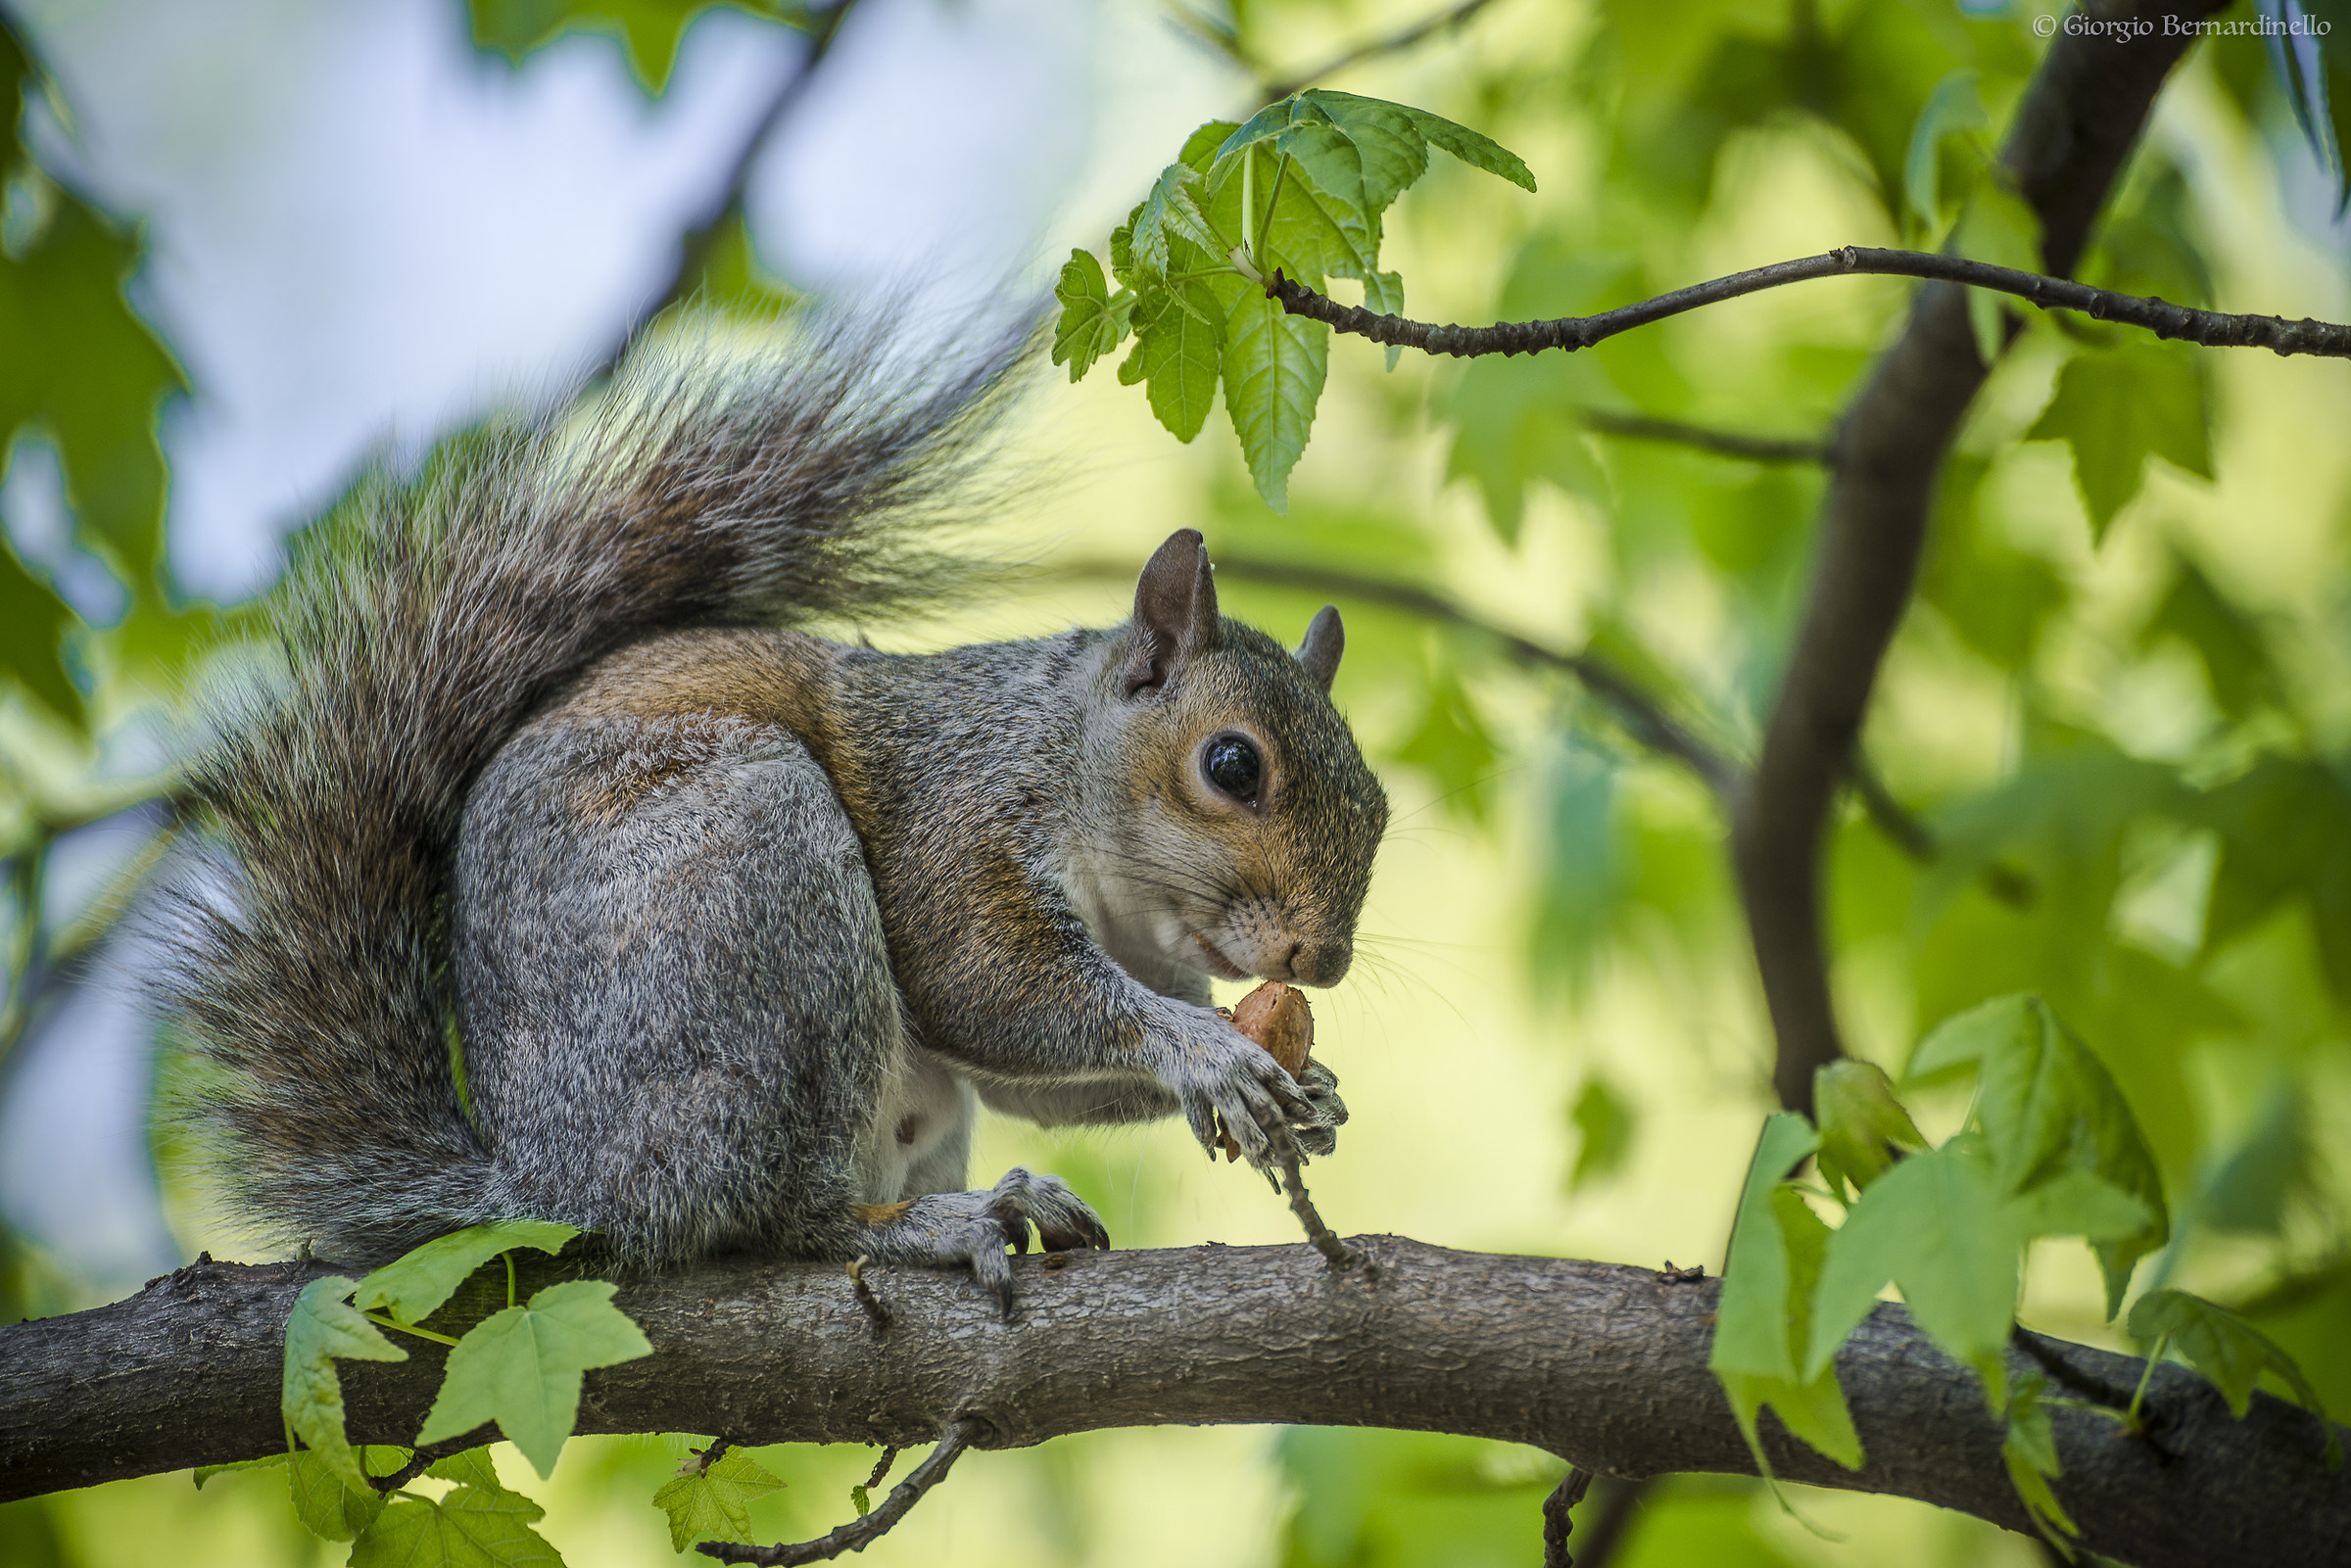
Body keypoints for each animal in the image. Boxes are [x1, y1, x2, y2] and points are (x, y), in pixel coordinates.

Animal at [156, 321, 1388, 1301]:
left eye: (1378, 808)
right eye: (1231, 764)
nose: (1320, 960)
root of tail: (553, 1179)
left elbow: (1016, 1068)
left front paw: (1309, 1086)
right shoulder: (954, 816)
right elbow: (983, 981)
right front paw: (1205, 1051)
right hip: (758, 890)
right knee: (786, 1217)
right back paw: (936, 1225)